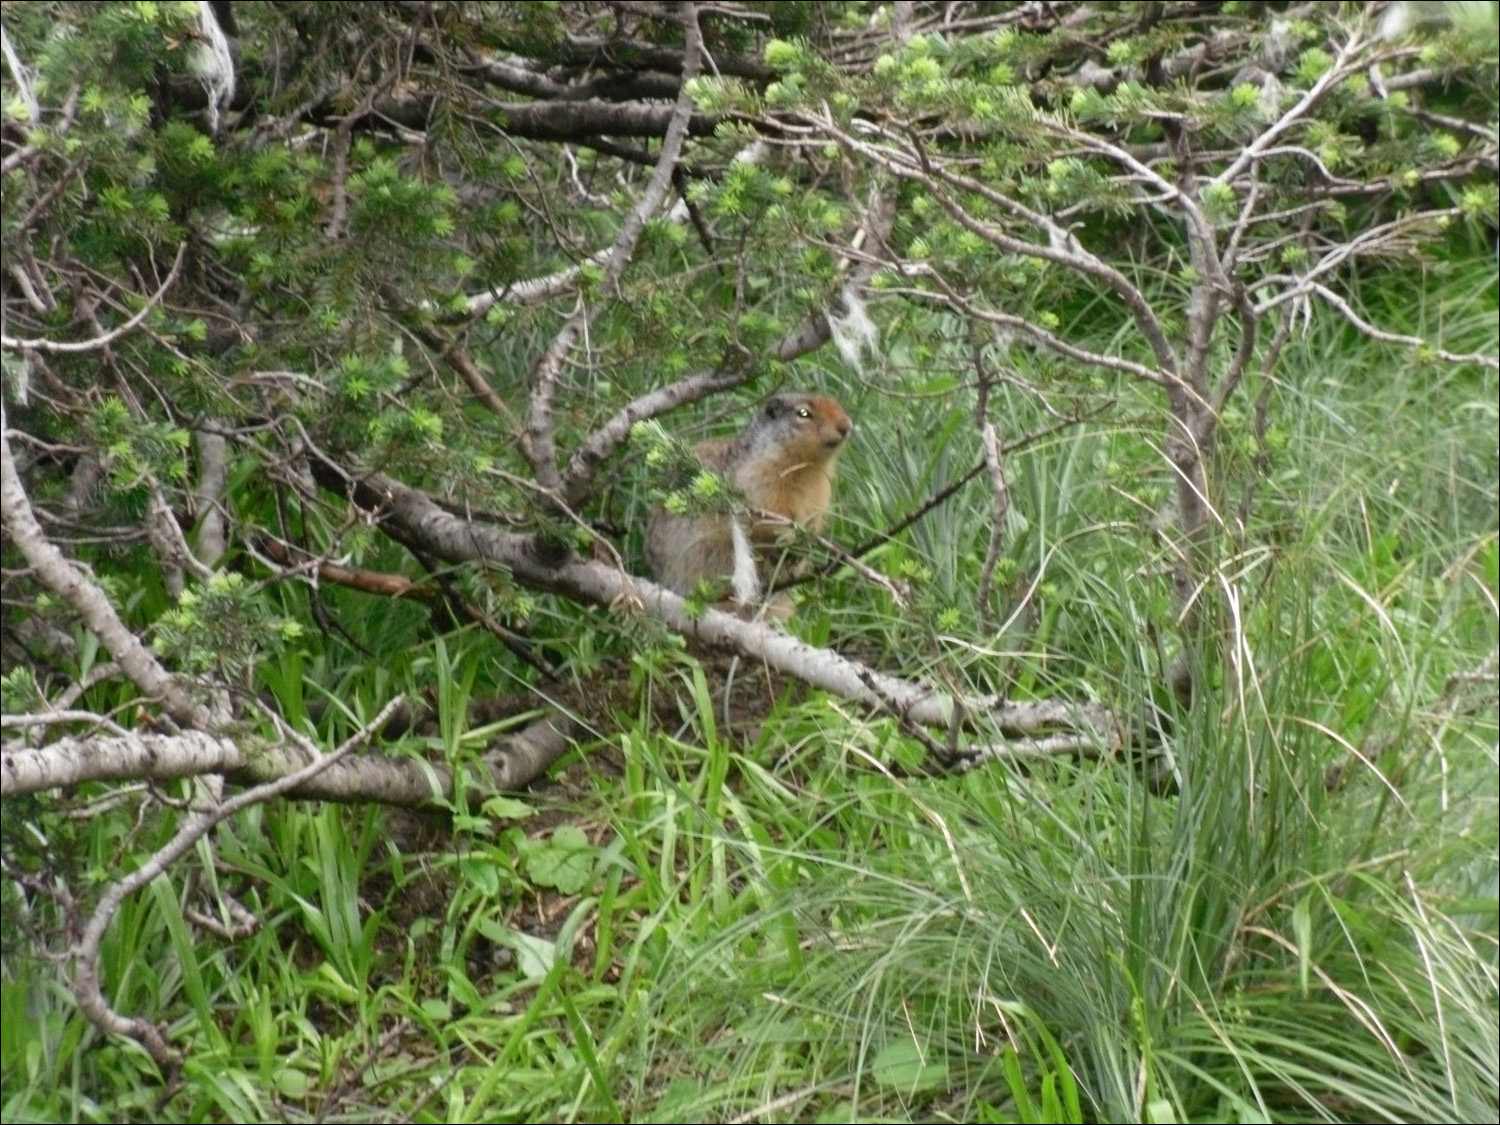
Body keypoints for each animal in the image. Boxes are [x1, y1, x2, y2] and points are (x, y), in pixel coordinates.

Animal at [645, 393, 858, 612]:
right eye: (803, 413)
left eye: (836, 403)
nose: (846, 425)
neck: (808, 468)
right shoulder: (760, 481)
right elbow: (767, 514)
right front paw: (789, 536)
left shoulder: (821, 493)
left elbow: (815, 517)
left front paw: (811, 540)